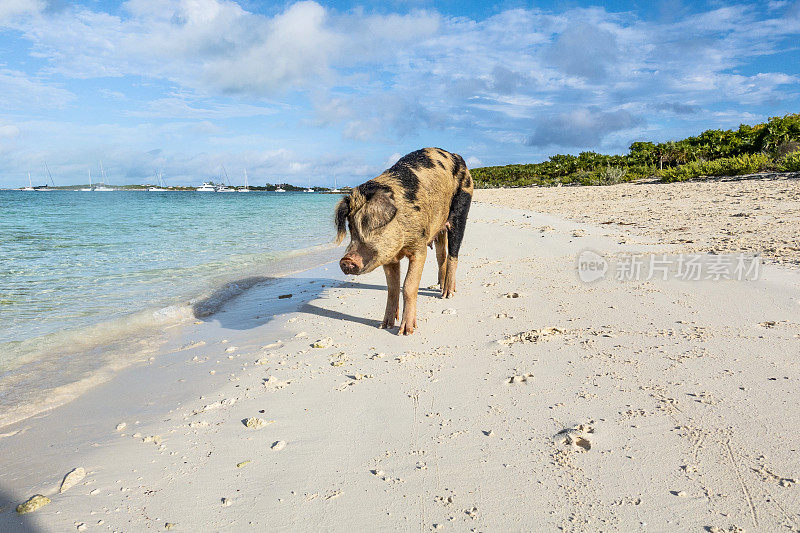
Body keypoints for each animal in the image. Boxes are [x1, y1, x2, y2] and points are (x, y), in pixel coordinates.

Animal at [332, 148, 472, 334]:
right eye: (351, 227)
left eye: (371, 224)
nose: (346, 260)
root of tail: (456, 156)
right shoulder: (388, 258)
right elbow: (392, 288)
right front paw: (385, 325)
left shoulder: (419, 248)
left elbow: (408, 286)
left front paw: (406, 331)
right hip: (439, 228)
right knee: (441, 256)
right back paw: (441, 287)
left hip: (462, 205)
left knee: (453, 255)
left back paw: (448, 294)